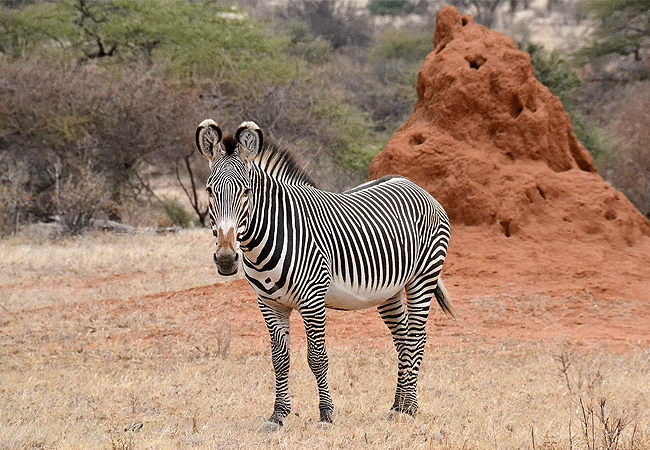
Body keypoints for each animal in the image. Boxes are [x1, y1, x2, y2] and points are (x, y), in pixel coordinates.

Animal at [195, 118, 454, 428]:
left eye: (246, 192)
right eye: (209, 191)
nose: (225, 260)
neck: (272, 235)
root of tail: (412, 184)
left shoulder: (313, 300)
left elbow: (317, 358)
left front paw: (326, 415)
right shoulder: (269, 304)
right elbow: (279, 359)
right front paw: (278, 415)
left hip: (423, 277)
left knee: (416, 338)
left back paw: (411, 408)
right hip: (389, 290)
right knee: (402, 338)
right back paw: (398, 406)